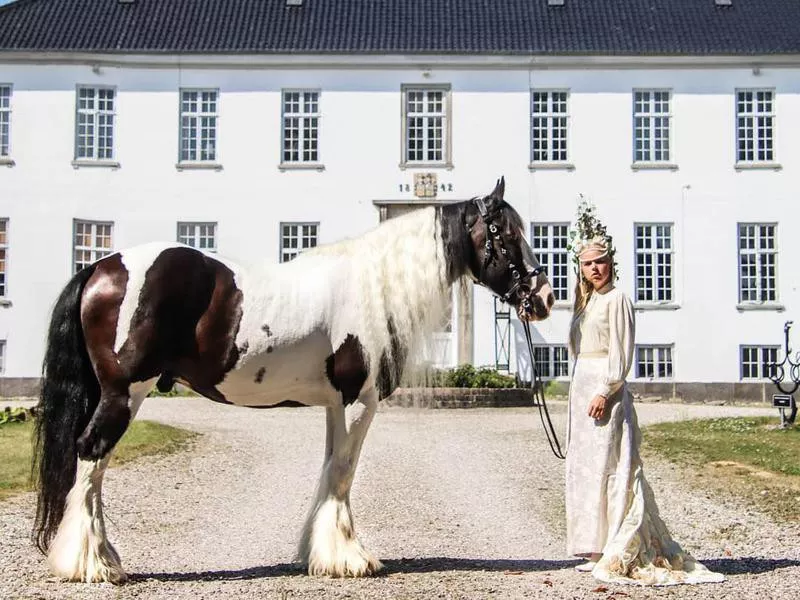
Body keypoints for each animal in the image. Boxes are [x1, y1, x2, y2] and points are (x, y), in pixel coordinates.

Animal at [32, 177, 556, 580]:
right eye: (504, 232)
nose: (544, 297)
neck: (375, 287)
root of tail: (101, 266)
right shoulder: (359, 401)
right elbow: (344, 471)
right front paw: (349, 558)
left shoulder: (334, 404)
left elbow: (330, 469)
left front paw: (318, 553)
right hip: (124, 393)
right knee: (92, 455)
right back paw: (93, 564)